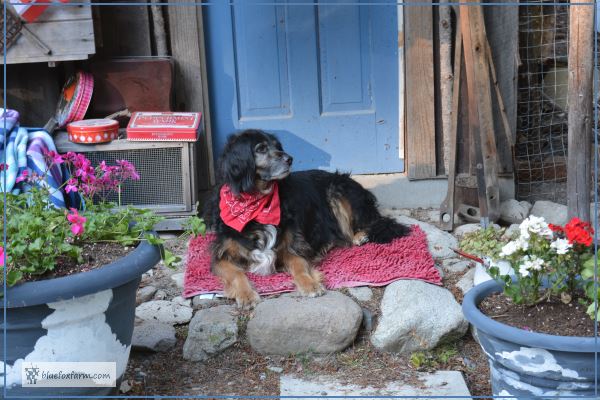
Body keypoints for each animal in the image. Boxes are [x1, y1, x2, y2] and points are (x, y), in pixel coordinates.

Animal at [204, 130, 410, 308]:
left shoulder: (292, 246)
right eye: (261, 148)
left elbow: (299, 265)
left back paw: (359, 236)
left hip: (338, 190)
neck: (258, 203)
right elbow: (237, 273)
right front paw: (246, 295)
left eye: (277, 146)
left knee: (371, 223)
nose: (289, 158)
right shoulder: (221, 255)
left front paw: (310, 284)